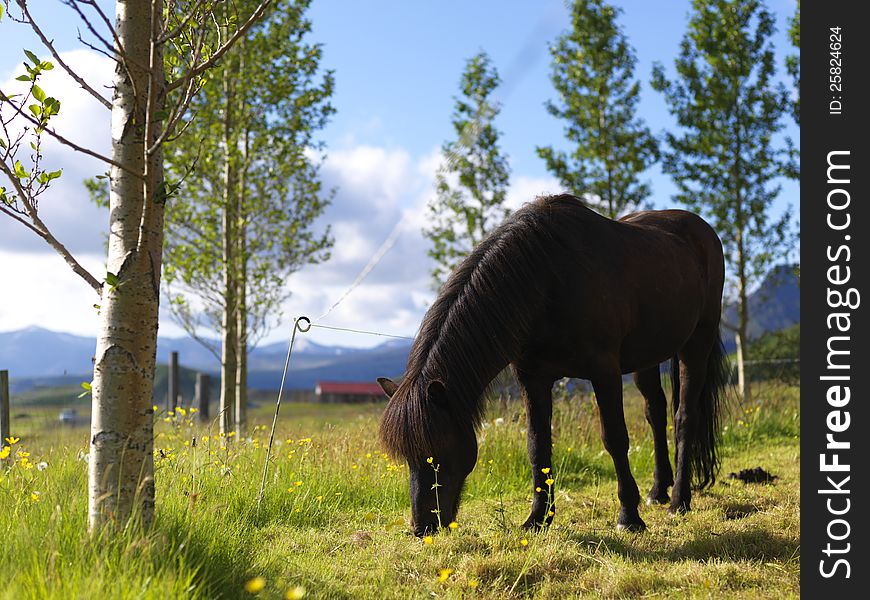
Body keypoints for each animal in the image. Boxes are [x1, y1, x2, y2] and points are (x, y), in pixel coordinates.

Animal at [378, 195, 732, 536]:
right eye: (406, 456)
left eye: (436, 450)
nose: (423, 526)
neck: (548, 279)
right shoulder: (533, 378)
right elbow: (538, 446)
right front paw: (538, 518)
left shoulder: (604, 371)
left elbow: (615, 438)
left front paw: (629, 517)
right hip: (647, 355)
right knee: (656, 413)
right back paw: (658, 490)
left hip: (696, 343)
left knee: (685, 416)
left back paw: (678, 500)